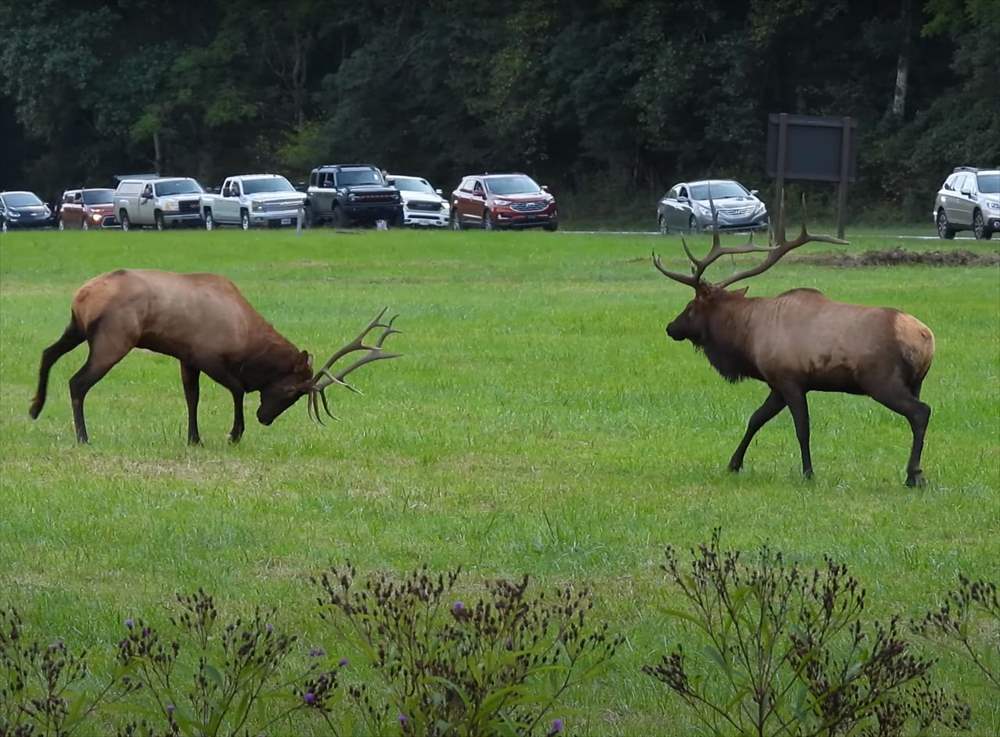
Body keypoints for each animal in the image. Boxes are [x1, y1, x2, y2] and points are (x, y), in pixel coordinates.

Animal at [30, 270, 402, 442]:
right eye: (291, 391)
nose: (264, 419)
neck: (245, 339)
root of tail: (83, 295)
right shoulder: (207, 354)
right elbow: (237, 389)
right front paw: (234, 433)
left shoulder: (187, 358)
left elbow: (191, 397)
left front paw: (193, 438)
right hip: (114, 339)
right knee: (77, 382)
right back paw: (83, 436)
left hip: (77, 328)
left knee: (47, 353)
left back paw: (35, 407)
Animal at [652, 203, 932, 488]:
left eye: (690, 307)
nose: (670, 327)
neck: (748, 340)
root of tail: (925, 338)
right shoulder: (777, 384)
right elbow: (755, 419)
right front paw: (734, 463)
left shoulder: (789, 379)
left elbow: (802, 428)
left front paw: (808, 472)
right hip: (915, 383)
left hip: (881, 381)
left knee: (921, 412)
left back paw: (914, 475)